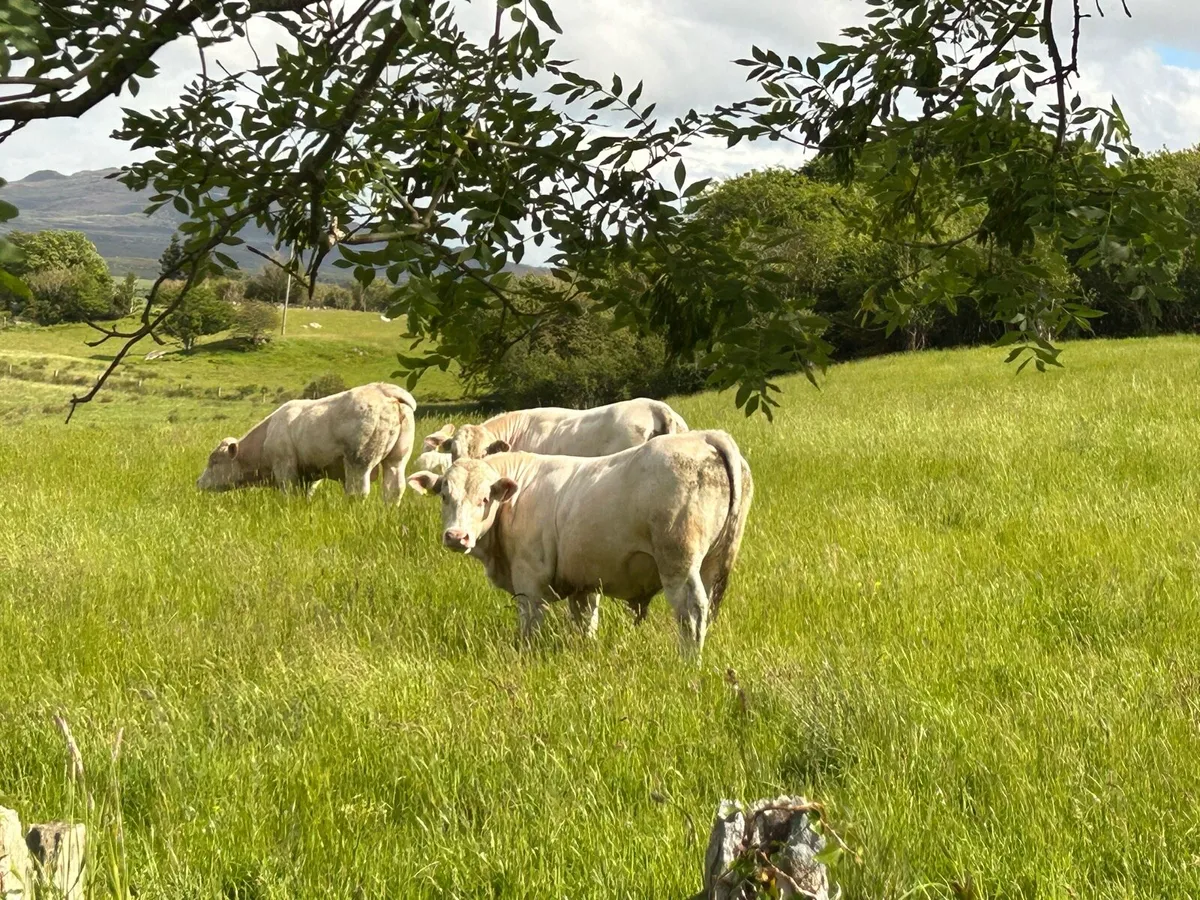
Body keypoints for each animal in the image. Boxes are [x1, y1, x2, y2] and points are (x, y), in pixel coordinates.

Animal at [197, 382, 417, 503]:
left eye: (214, 462)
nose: (198, 482)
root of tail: (382, 389)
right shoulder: (310, 474)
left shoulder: (285, 468)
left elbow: (288, 494)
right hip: (397, 460)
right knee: (394, 490)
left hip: (358, 462)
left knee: (357, 492)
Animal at [407, 430, 752, 655]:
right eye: (445, 496)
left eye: (483, 499)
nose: (456, 536)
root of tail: (704, 436)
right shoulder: (584, 582)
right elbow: (586, 622)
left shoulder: (529, 582)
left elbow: (530, 626)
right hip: (713, 563)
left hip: (678, 563)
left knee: (691, 611)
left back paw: (687, 663)